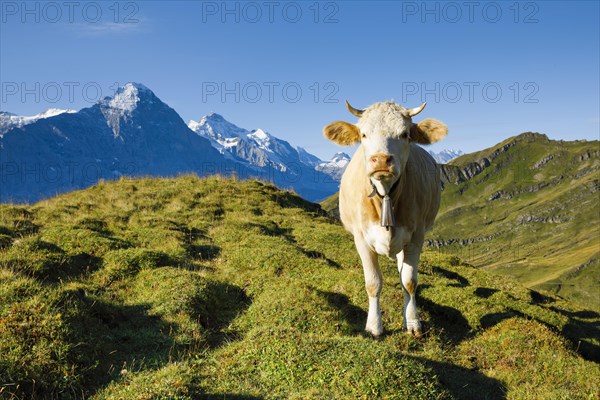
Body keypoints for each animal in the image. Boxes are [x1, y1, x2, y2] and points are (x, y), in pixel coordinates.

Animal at [324, 101, 446, 338]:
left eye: (405, 134)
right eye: (363, 134)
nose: (381, 160)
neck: (386, 195)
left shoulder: (416, 236)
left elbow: (409, 281)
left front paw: (413, 322)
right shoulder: (361, 239)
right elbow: (373, 283)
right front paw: (374, 326)